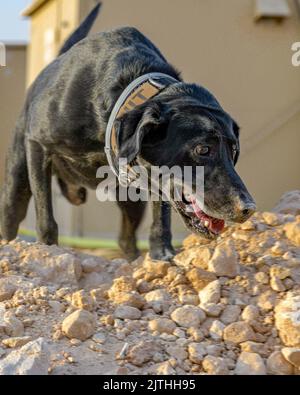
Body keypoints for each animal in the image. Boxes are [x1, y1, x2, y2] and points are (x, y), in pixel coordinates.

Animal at [1, 6, 256, 262]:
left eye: (234, 151)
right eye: (203, 149)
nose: (248, 208)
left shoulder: (157, 179)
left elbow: (161, 217)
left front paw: (162, 254)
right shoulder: (38, 143)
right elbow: (46, 218)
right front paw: (49, 250)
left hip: (131, 199)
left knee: (126, 238)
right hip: (18, 178)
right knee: (11, 214)